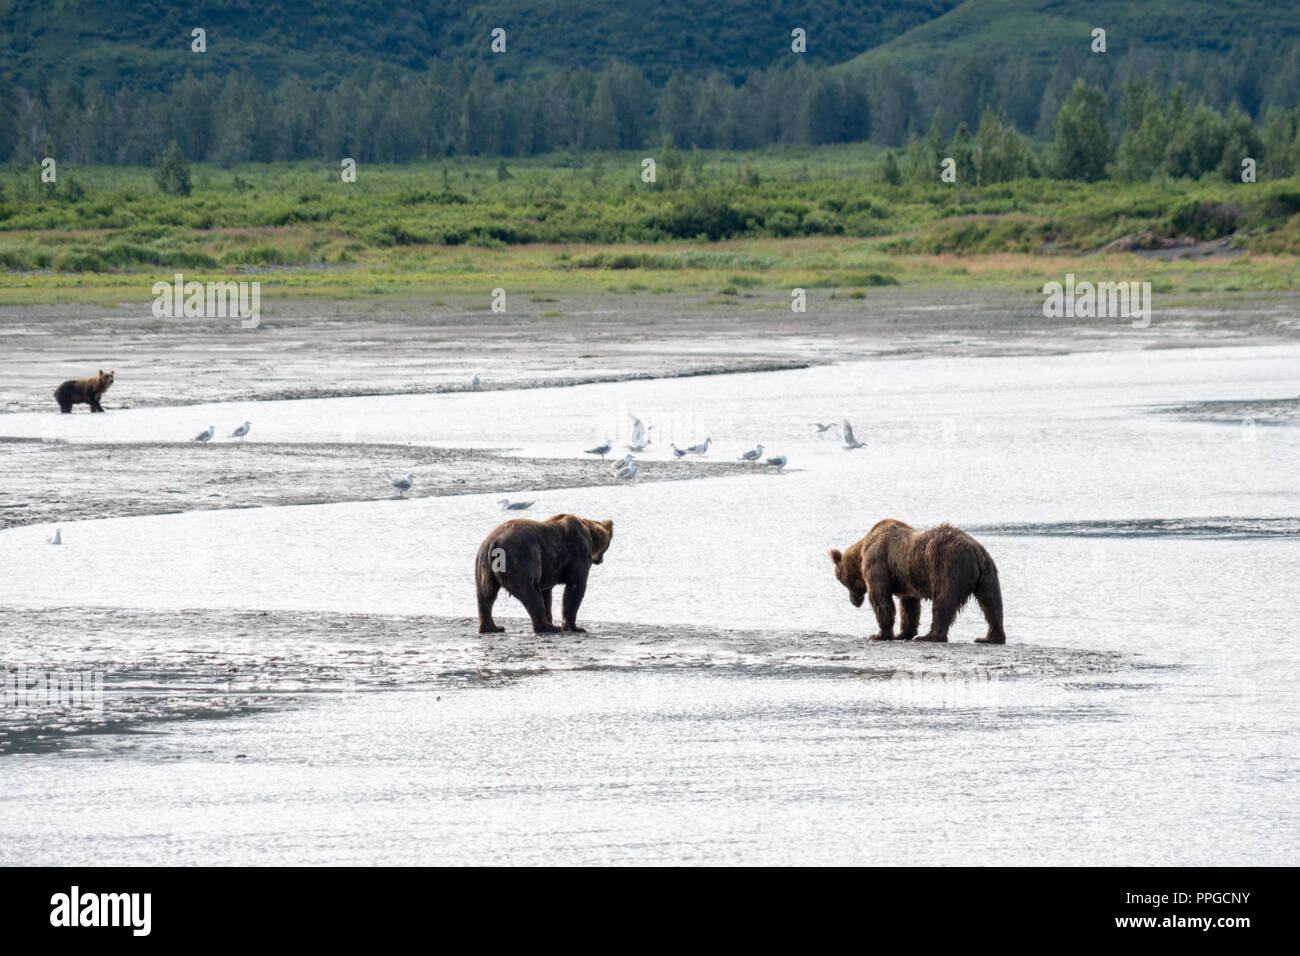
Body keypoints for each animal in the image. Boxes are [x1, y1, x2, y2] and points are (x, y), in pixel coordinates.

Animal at [476, 513, 613, 634]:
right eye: (607, 545)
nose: (601, 560)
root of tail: (495, 543)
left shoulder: (549, 569)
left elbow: (546, 594)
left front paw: (553, 620)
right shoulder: (578, 552)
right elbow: (575, 587)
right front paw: (575, 627)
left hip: (484, 561)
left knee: (486, 593)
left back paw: (492, 627)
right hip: (521, 557)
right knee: (530, 591)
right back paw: (547, 627)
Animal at [830, 518, 1006, 644]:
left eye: (843, 581)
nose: (854, 601)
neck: (861, 552)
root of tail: (976, 550)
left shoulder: (878, 562)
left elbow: (880, 598)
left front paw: (879, 634)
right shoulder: (906, 578)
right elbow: (909, 606)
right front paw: (903, 633)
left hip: (949, 567)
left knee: (944, 601)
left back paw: (930, 636)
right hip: (988, 572)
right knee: (991, 603)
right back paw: (990, 638)